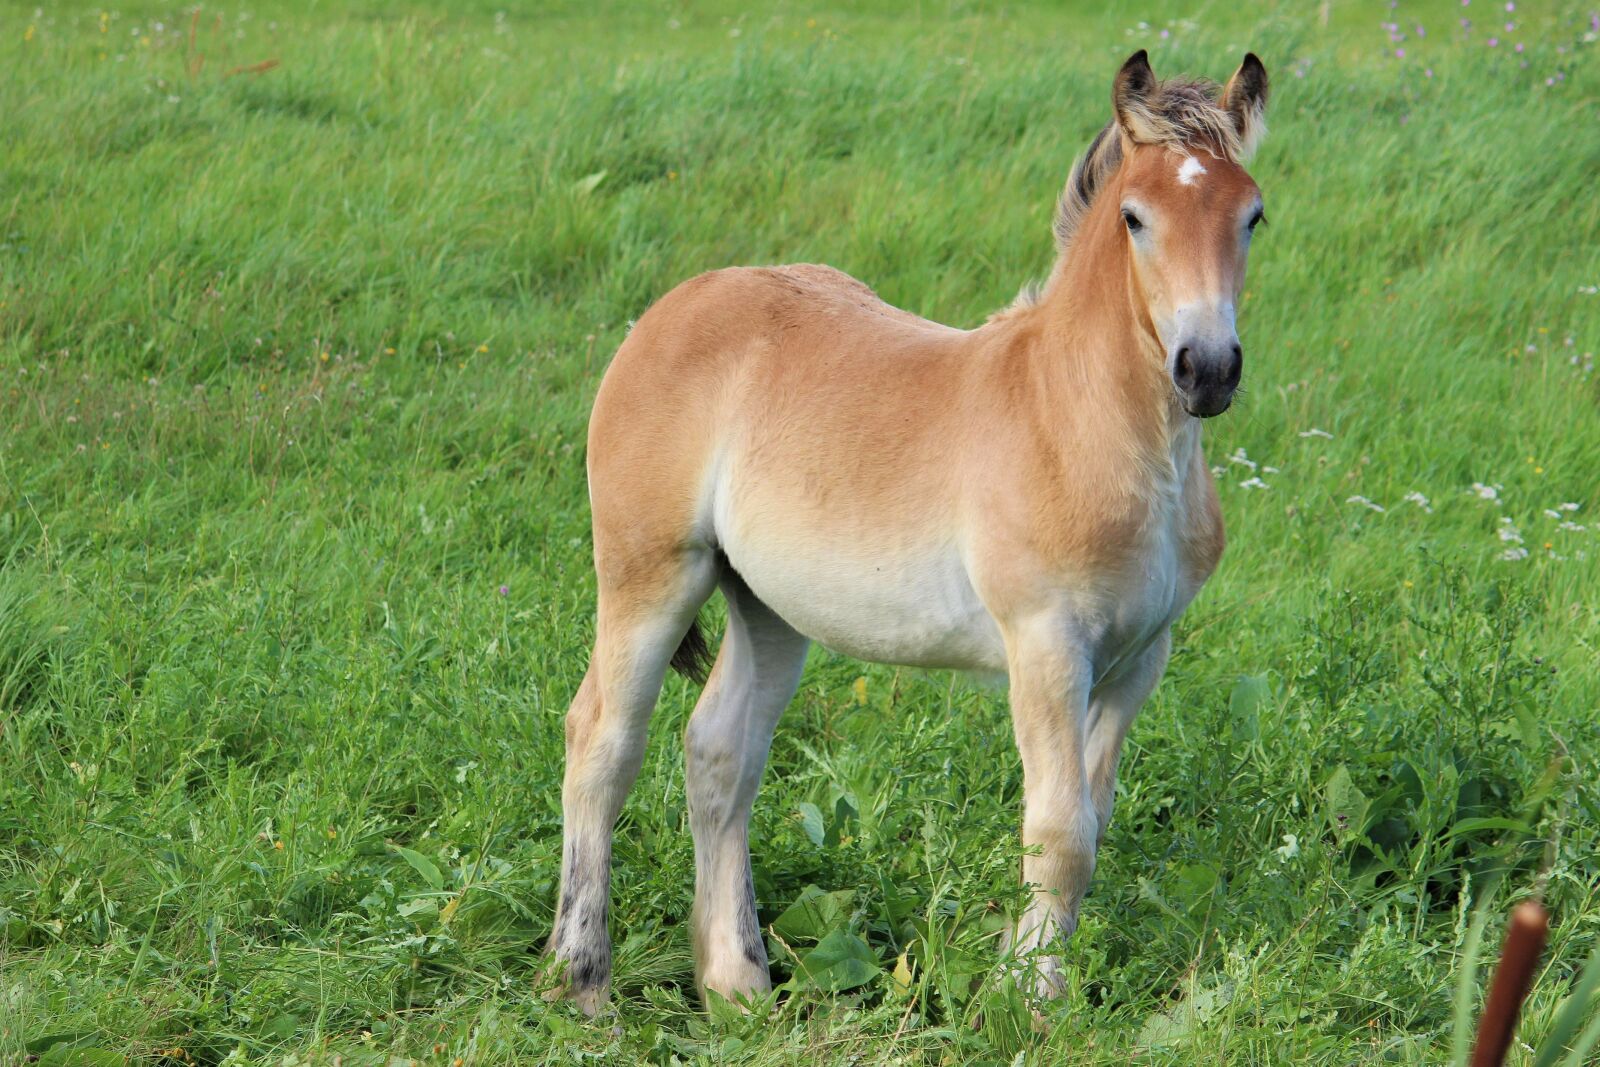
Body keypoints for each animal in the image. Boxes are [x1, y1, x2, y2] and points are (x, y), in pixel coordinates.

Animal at [546, 49, 1269, 1013]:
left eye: (1252, 214)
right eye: (1135, 217)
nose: (1208, 370)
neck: (1085, 422)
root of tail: (675, 305)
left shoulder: (1141, 655)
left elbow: (1094, 812)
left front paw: (1031, 976)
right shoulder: (1046, 644)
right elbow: (1060, 830)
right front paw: (1030, 1002)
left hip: (770, 606)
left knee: (720, 752)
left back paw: (738, 984)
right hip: (648, 573)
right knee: (601, 742)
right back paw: (584, 979)